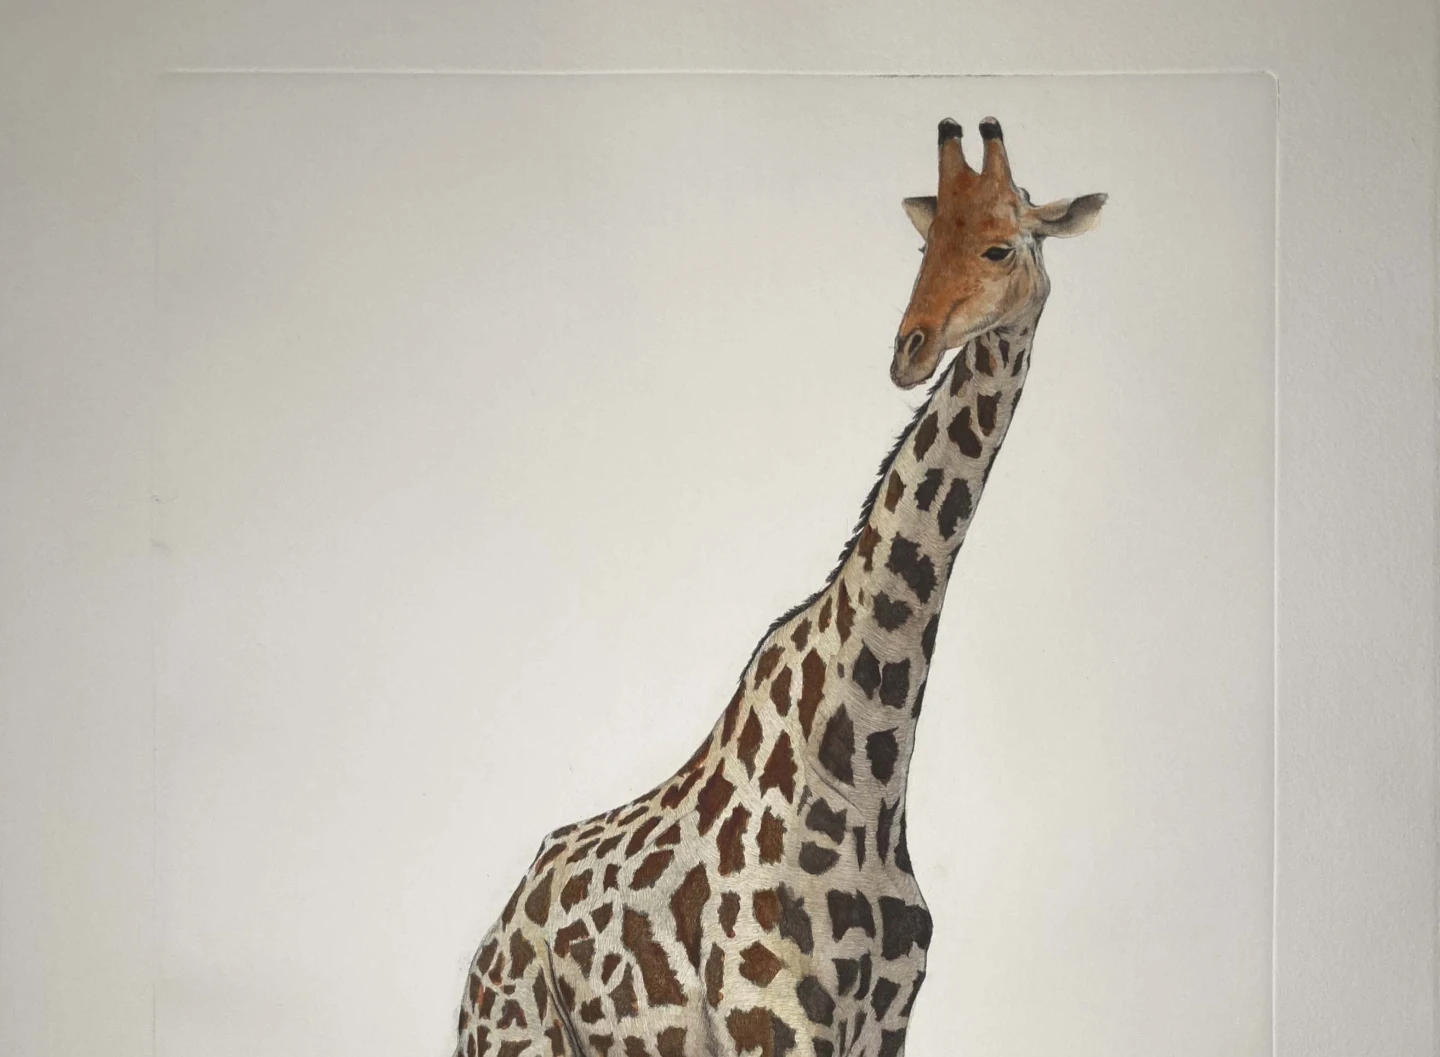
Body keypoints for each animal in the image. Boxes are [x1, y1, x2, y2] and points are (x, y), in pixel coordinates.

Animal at [452, 117, 1106, 1057]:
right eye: (923, 244)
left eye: (999, 245)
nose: (909, 348)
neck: (871, 774)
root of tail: (488, 944)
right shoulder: (773, 1021)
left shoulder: (884, 1027)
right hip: (518, 1039)